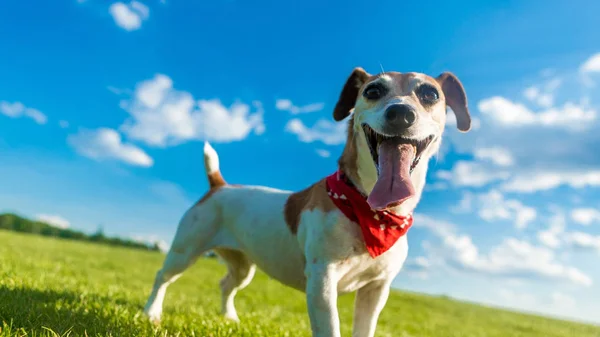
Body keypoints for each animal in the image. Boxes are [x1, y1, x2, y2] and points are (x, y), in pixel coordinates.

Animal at [143, 67, 472, 336]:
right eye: (372, 91)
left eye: (430, 94)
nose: (401, 113)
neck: (371, 212)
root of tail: (219, 185)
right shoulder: (322, 280)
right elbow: (329, 328)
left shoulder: (377, 289)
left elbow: (365, 327)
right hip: (185, 249)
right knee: (162, 276)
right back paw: (151, 313)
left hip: (242, 266)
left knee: (226, 284)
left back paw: (230, 318)